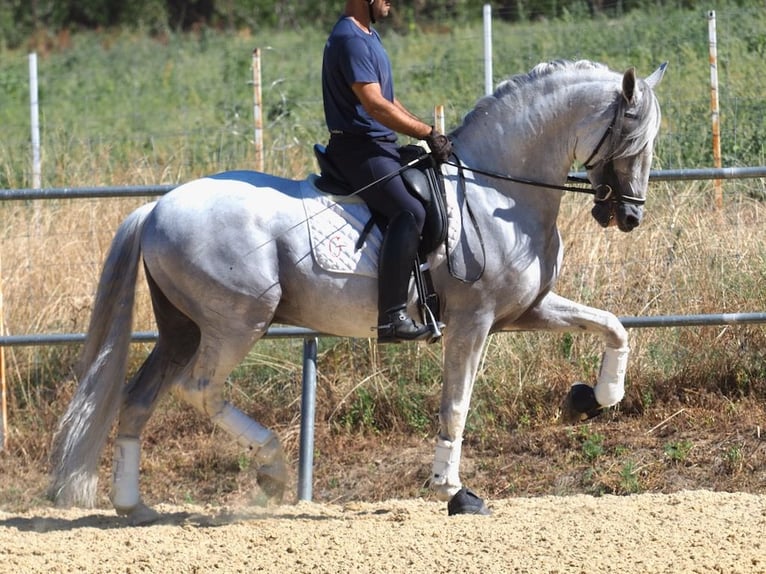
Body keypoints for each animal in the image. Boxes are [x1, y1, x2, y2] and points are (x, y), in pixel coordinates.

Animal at [51, 59, 668, 528]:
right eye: (631, 139)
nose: (630, 217)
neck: (497, 191)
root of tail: (156, 207)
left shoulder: (526, 310)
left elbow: (612, 325)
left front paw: (595, 396)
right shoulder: (473, 321)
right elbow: (456, 405)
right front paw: (453, 492)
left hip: (182, 327)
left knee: (138, 398)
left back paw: (134, 507)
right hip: (236, 322)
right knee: (198, 389)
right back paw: (272, 470)